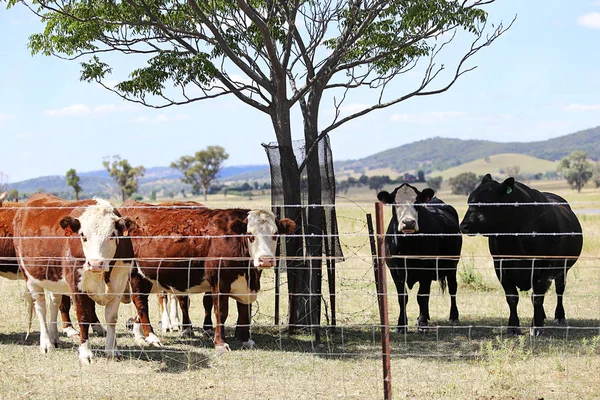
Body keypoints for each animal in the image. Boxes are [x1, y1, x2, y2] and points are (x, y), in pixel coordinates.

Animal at [12, 193, 136, 362]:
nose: (95, 263)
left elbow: (111, 317)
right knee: (41, 307)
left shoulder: (119, 284)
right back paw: (46, 343)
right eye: (83, 235)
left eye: (112, 235)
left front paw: (112, 350)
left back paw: (54, 337)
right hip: (30, 278)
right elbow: (83, 317)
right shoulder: (77, 287)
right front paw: (86, 353)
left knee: (54, 302)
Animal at [119, 202, 296, 352]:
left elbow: (244, 311)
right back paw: (151, 337)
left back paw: (140, 337)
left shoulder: (245, 285)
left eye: (275, 234)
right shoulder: (219, 282)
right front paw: (220, 343)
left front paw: (246, 340)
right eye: (250, 234)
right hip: (136, 274)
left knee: (138, 306)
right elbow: (221, 312)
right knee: (141, 303)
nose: (265, 260)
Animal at [378, 183, 462, 332]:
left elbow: (422, 296)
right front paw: (402, 325)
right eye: (395, 202)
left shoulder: (426, 269)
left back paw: (453, 316)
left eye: (417, 202)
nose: (408, 223)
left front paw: (423, 324)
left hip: (452, 264)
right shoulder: (395, 271)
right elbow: (403, 297)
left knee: (452, 287)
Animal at [460, 173, 580, 336]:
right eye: (469, 201)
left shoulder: (543, 266)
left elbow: (537, 297)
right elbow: (512, 297)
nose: (463, 226)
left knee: (559, 291)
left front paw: (536, 327)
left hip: (563, 268)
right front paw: (513, 326)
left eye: (486, 202)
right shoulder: (500, 266)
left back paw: (559, 317)